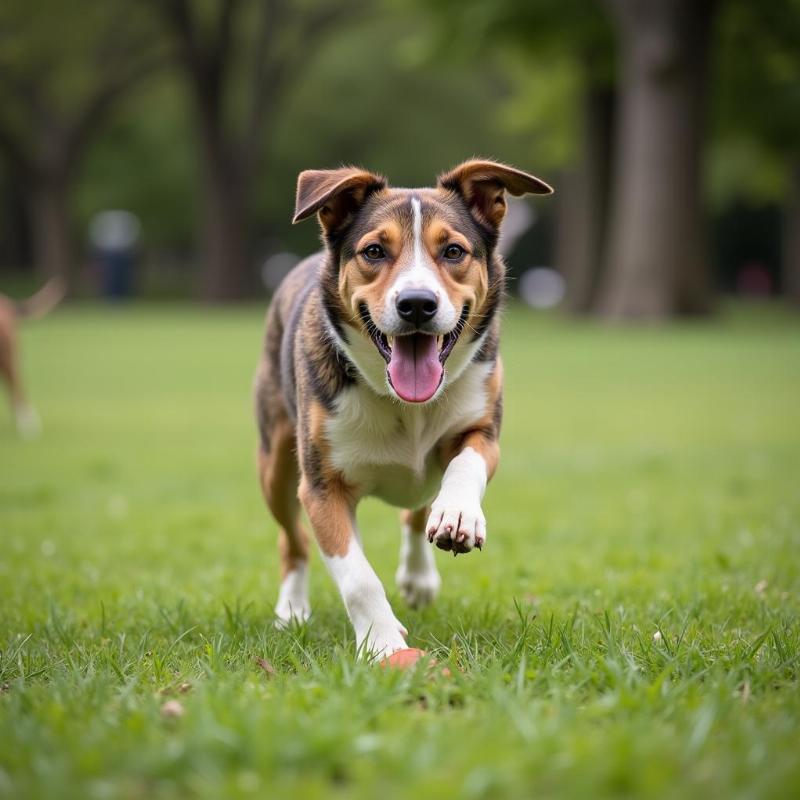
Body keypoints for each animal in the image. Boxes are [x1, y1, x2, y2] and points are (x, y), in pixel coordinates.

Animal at [253, 159, 552, 660]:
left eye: (453, 250)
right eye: (374, 251)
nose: (416, 304)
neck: (406, 405)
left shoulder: (483, 427)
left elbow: (467, 463)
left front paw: (457, 515)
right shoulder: (321, 488)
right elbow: (357, 577)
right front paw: (383, 646)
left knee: (414, 508)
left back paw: (419, 575)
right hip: (275, 462)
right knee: (291, 540)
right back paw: (291, 609)